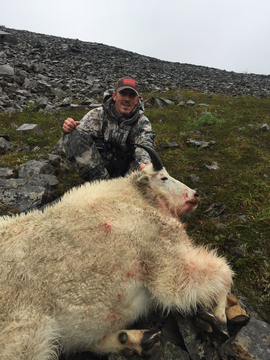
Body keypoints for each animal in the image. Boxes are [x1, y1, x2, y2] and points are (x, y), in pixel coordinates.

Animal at [0, 145, 233, 358]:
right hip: (25, 333)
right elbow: (218, 273)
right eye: (164, 177)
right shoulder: (163, 254)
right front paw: (219, 318)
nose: (194, 195)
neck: (135, 197)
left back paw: (136, 339)